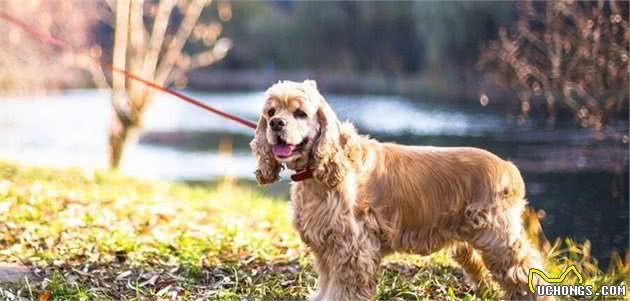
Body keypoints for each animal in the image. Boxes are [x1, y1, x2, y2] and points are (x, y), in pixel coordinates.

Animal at [252, 79, 552, 300]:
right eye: (271, 112)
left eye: (300, 113)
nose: (276, 124)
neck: (319, 173)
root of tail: (509, 167)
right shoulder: (326, 248)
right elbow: (326, 286)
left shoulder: (352, 249)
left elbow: (342, 290)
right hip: (469, 244)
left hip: (497, 238)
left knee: (525, 269)